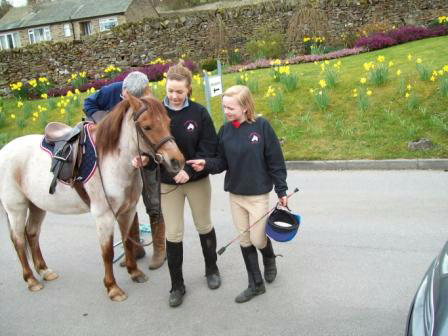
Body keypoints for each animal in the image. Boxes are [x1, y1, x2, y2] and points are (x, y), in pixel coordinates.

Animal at [0, 92, 186, 302]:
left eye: (168, 122)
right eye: (146, 126)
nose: (177, 161)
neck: (110, 161)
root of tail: (4, 150)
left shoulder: (127, 211)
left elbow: (128, 240)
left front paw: (135, 272)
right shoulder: (104, 216)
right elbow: (107, 252)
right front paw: (113, 288)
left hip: (37, 206)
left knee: (32, 233)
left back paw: (45, 271)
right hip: (16, 209)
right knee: (18, 241)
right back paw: (31, 280)